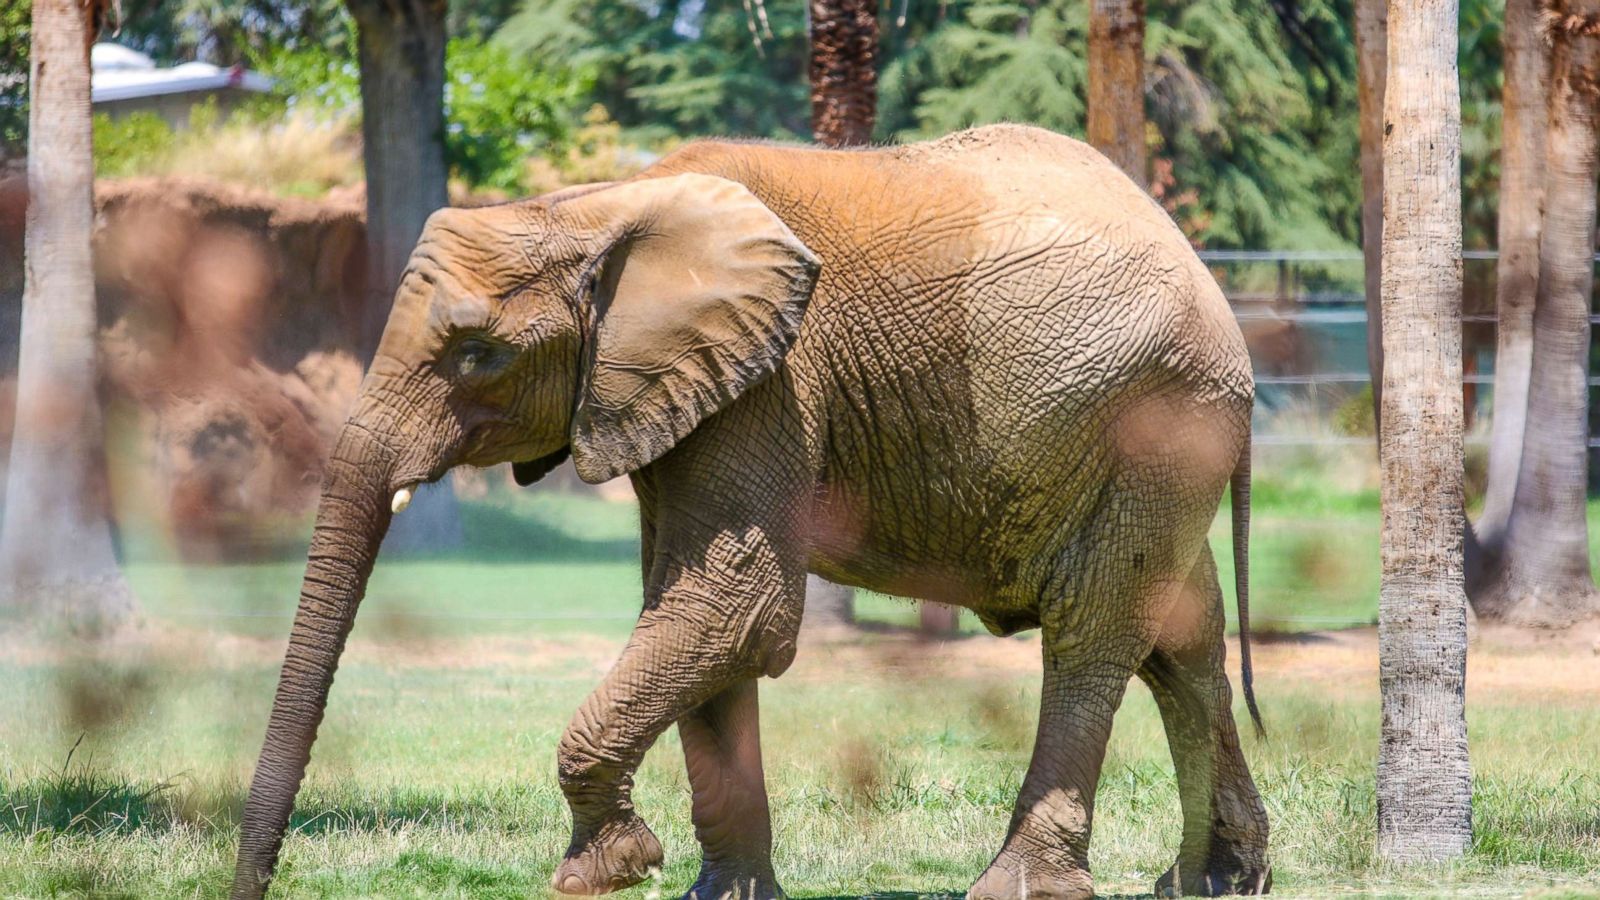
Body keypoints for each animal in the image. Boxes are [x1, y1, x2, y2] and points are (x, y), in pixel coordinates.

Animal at [231, 124, 1270, 900]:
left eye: (477, 354)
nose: (254, 884)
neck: (600, 204)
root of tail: (1203, 272)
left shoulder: (771, 384)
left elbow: (734, 610)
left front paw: (609, 869)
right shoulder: (684, 393)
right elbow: (695, 616)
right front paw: (719, 893)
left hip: (1157, 417)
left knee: (1093, 634)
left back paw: (1022, 887)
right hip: (1162, 443)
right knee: (1181, 641)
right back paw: (1220, 881)